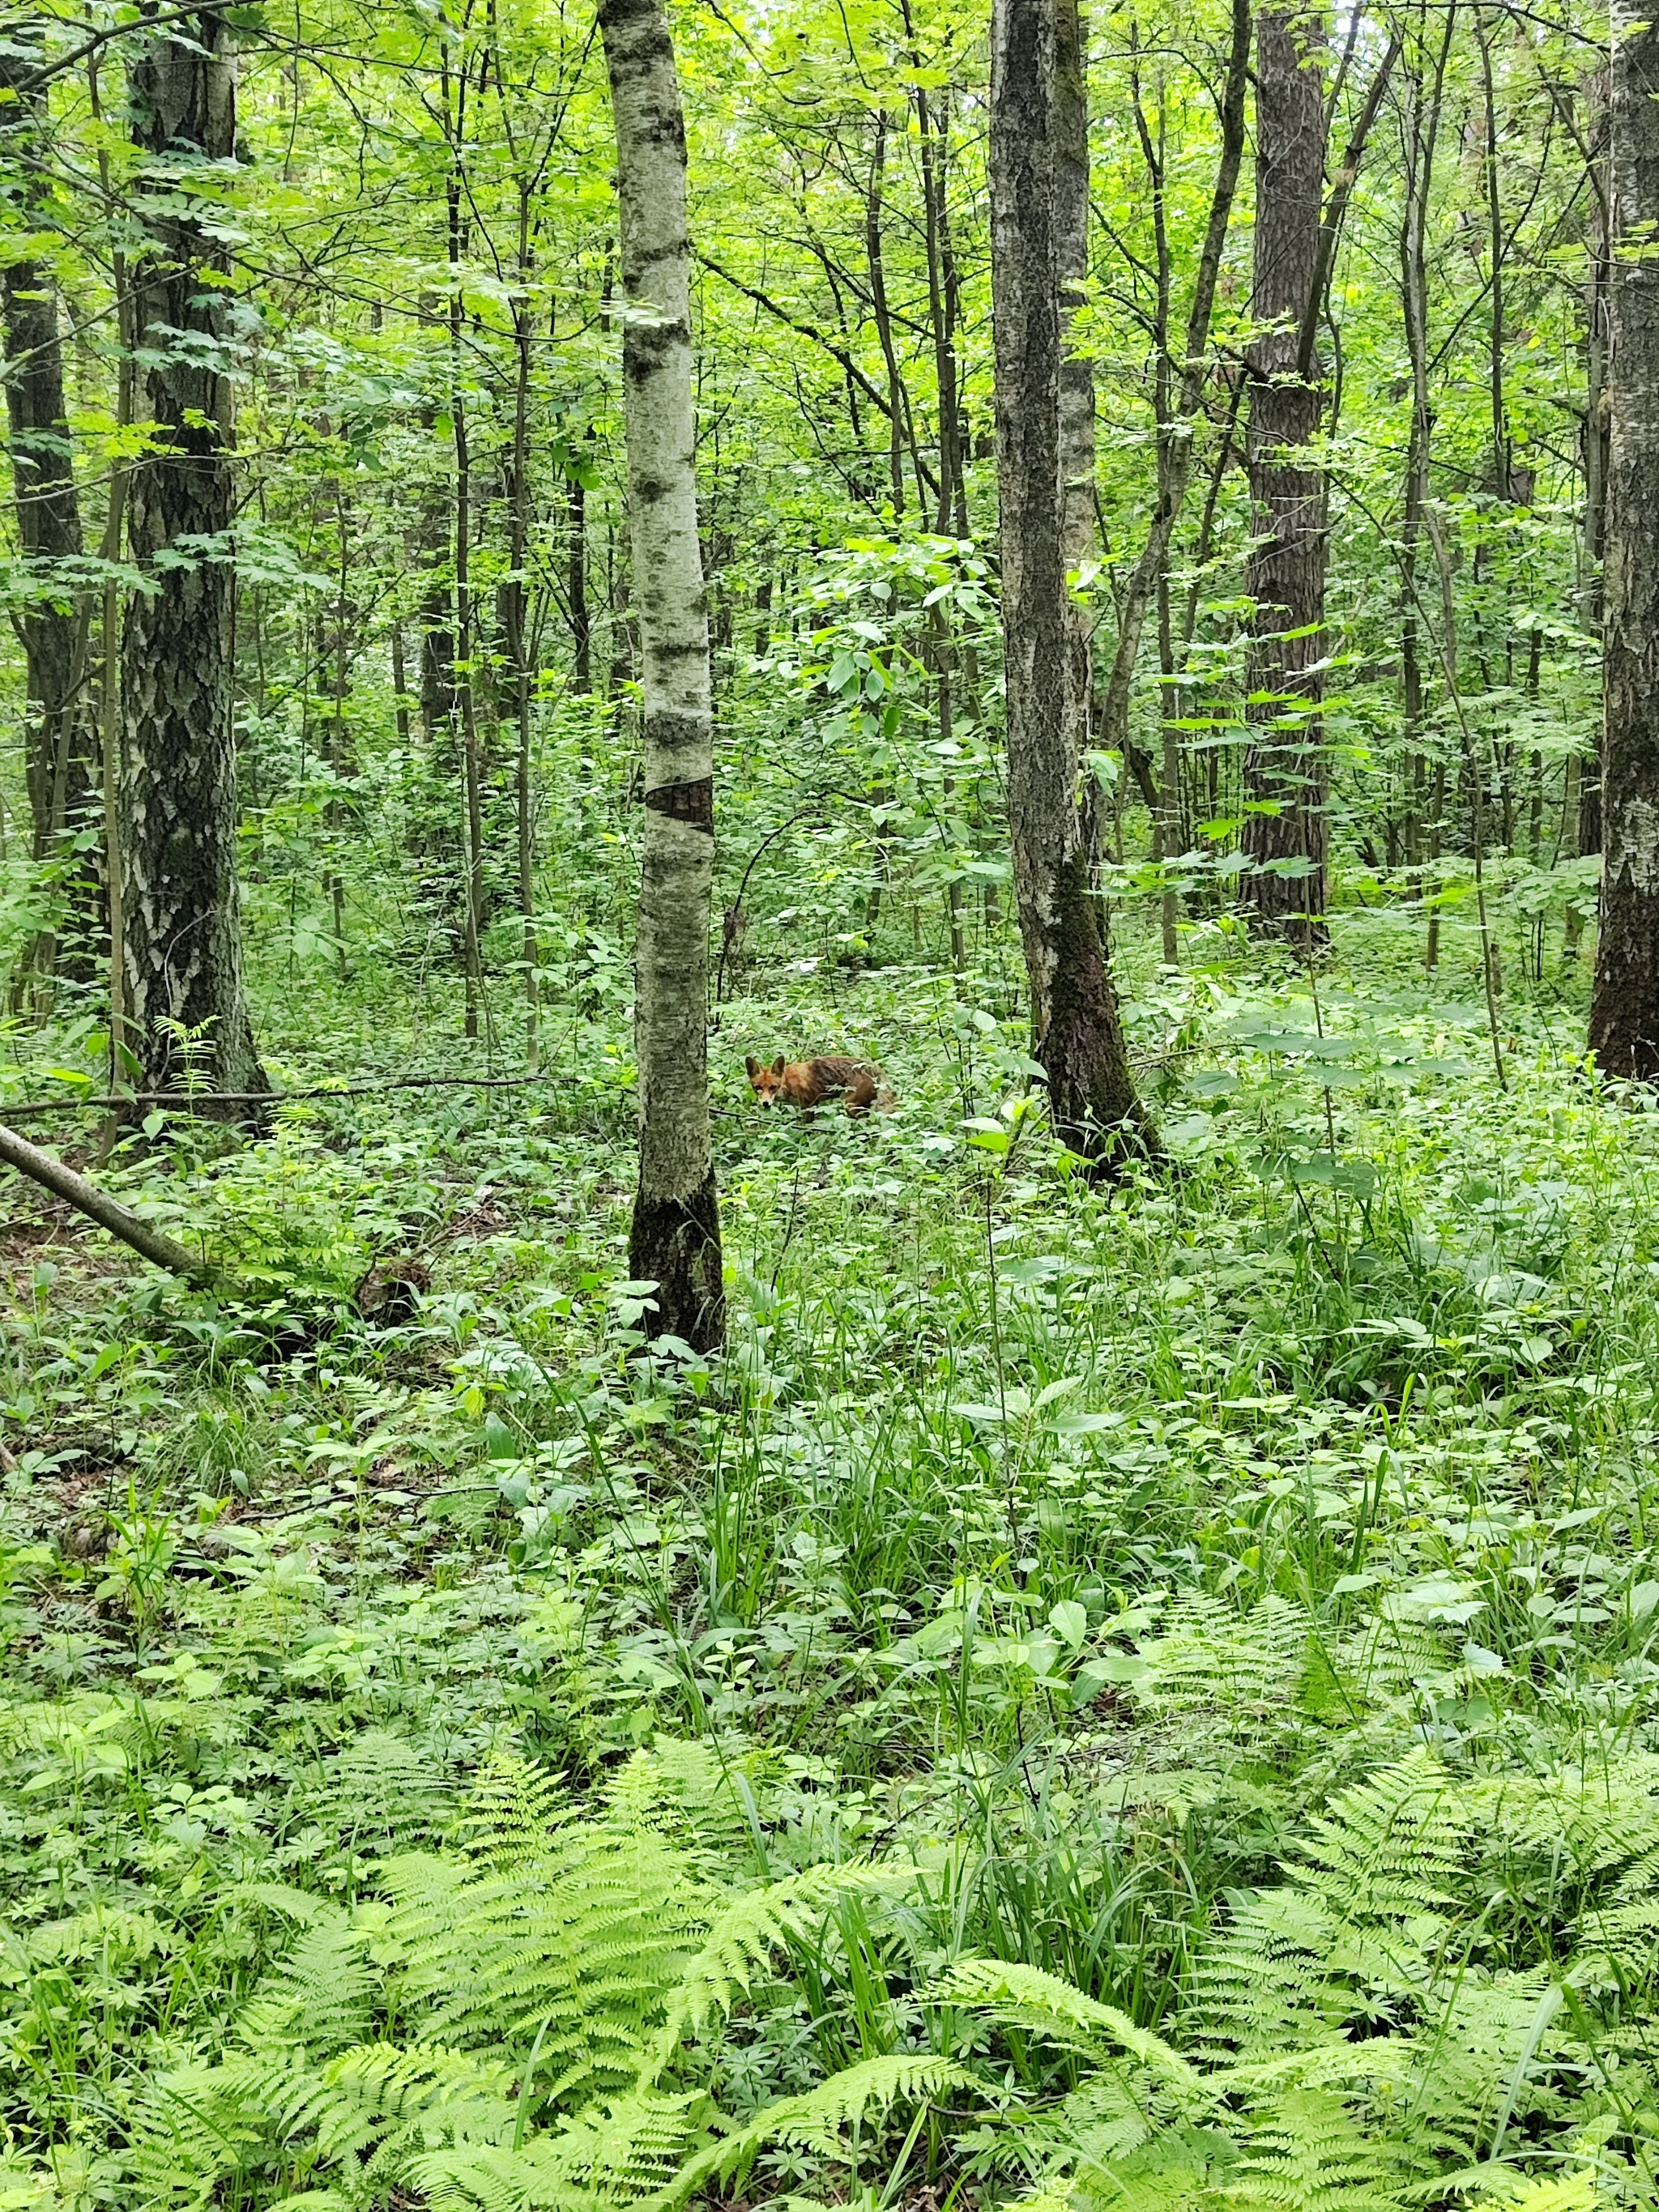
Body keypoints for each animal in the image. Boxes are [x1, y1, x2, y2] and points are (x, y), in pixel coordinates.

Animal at [747, 1057, 889, 1123]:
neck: (787, 1082)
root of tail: (873, 1067)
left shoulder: (809, 1105)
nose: (765, 1103)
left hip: (849, 1104)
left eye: (773, 1087)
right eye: (758, 1088)